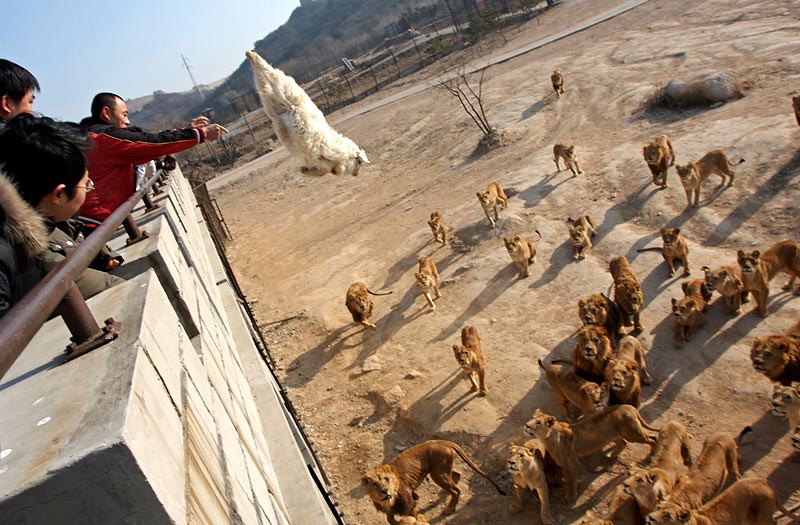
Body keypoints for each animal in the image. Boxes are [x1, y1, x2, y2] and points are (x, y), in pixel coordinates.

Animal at [362, 440, 505, 523]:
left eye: (386, 479)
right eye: (374, 484)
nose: (385, 491)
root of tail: (443, 442)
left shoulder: (409, 505)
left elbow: (413, 517)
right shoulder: (390, 509)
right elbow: (391, 520)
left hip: (438, 474)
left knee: (456, 491)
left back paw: (449, 508)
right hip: (441, 471)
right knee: (457, 475)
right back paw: (445, 492)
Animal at [525, 407, 660, 500]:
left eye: (538, 422)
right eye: (531, 417)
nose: (526, 425)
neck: (548, 438)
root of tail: (629, 407)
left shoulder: (571, 463)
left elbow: (571, 480)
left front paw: (571, 496)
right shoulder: (563, 463)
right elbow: (566, 477)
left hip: (633, 434)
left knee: (653, 438)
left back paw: (652, 455)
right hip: (613, 436)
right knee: (624, 443)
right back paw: (611, 455)